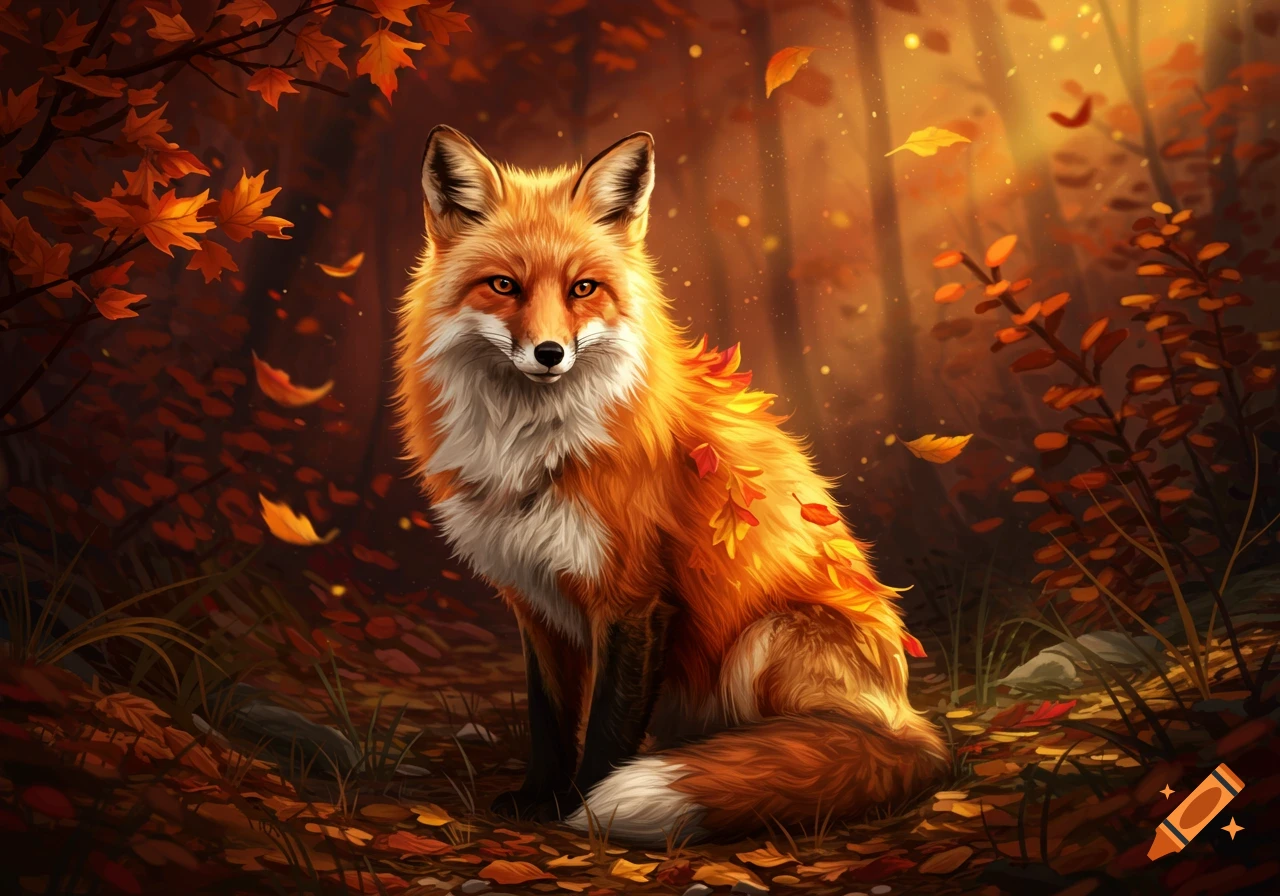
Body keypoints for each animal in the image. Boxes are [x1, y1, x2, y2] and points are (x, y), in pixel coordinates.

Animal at [392, 125, 948, 845]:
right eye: (504, 285)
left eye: (583, 288)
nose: (550, 353)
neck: (537, 452)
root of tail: (912, 722)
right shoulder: (536, 600)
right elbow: (550, 719)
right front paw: (540, 797)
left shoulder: (634, 599)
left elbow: (608, 730)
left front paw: (583, 810)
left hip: (765, 638)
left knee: (814, 746)